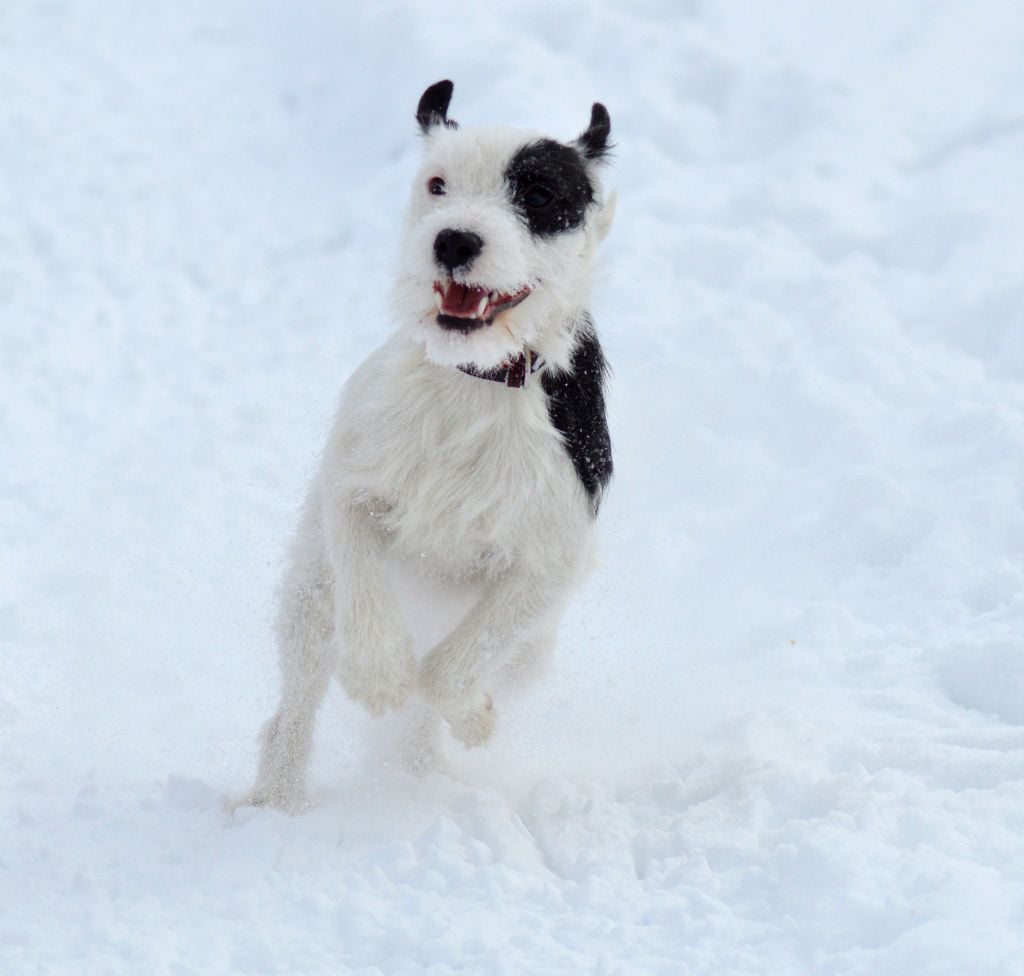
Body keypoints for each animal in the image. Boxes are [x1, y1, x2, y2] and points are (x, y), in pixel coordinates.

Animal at [245, 79, 614, 811]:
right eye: (437, 184)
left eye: (538, 194)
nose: (454, 239)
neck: (471, 377)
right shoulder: (352, 485)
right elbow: (363, 580)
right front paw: (378, 673)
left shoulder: (549, 561)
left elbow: (451, 670)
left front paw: (470, 715)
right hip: (309, 595)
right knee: (296, 702)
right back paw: (276, 797)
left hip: (533, 651)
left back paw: (421, 768)